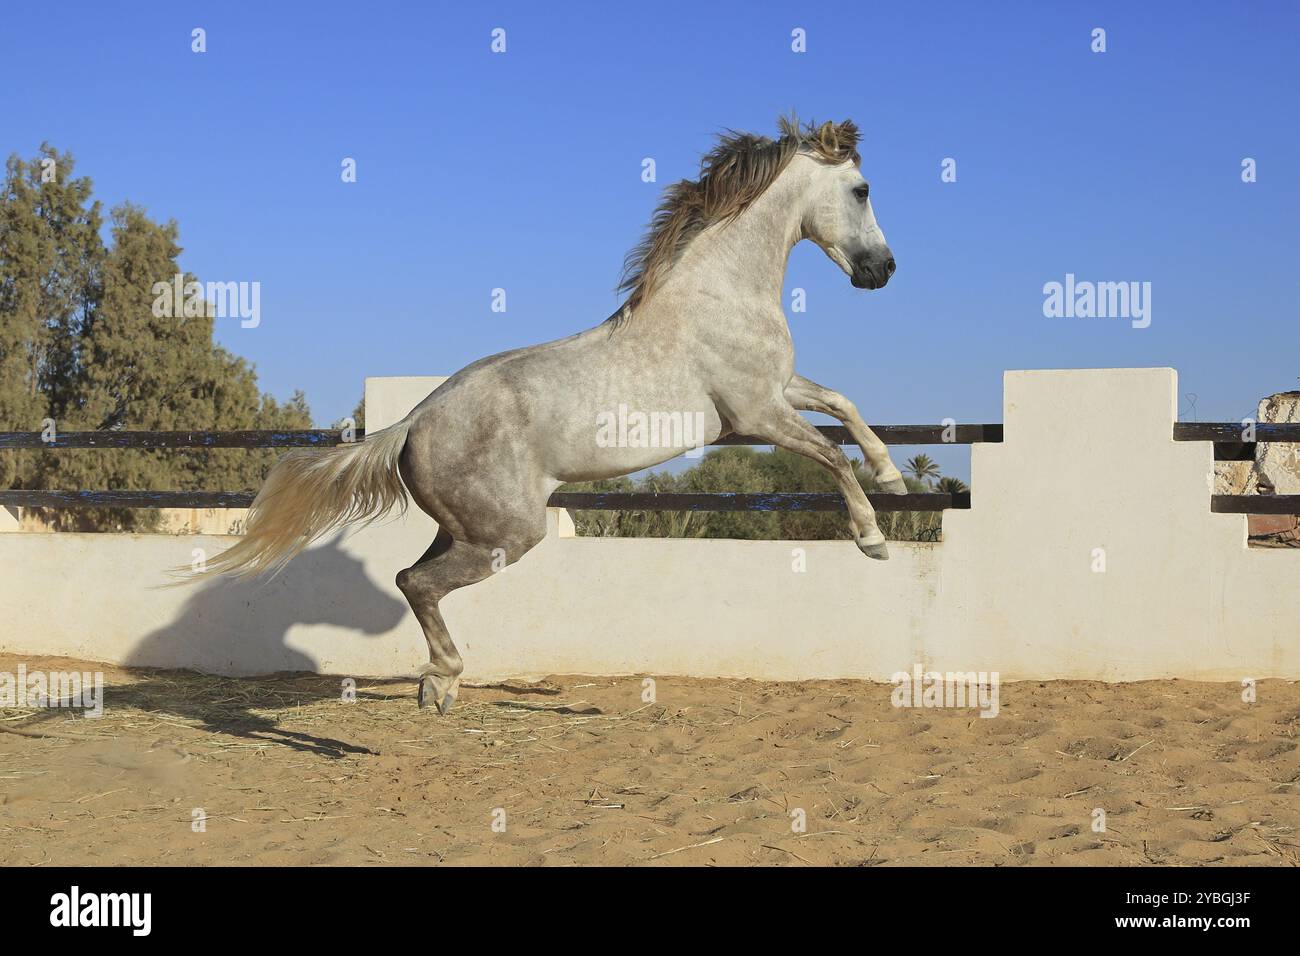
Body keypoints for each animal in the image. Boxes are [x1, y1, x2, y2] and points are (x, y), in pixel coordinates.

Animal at [196, 116, 906, 714]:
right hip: (509, 535)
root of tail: (412, 424)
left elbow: (844, 405)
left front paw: (894, 477)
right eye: (863, 189)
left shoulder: (778, 392)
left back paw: (436, 685)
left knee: (413, 579)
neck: (716, 296)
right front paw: (872, 538)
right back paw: (443, 681)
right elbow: (830, 454)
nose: (883, 270)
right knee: (414, 582)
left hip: (467, 530)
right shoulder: (757, 413)